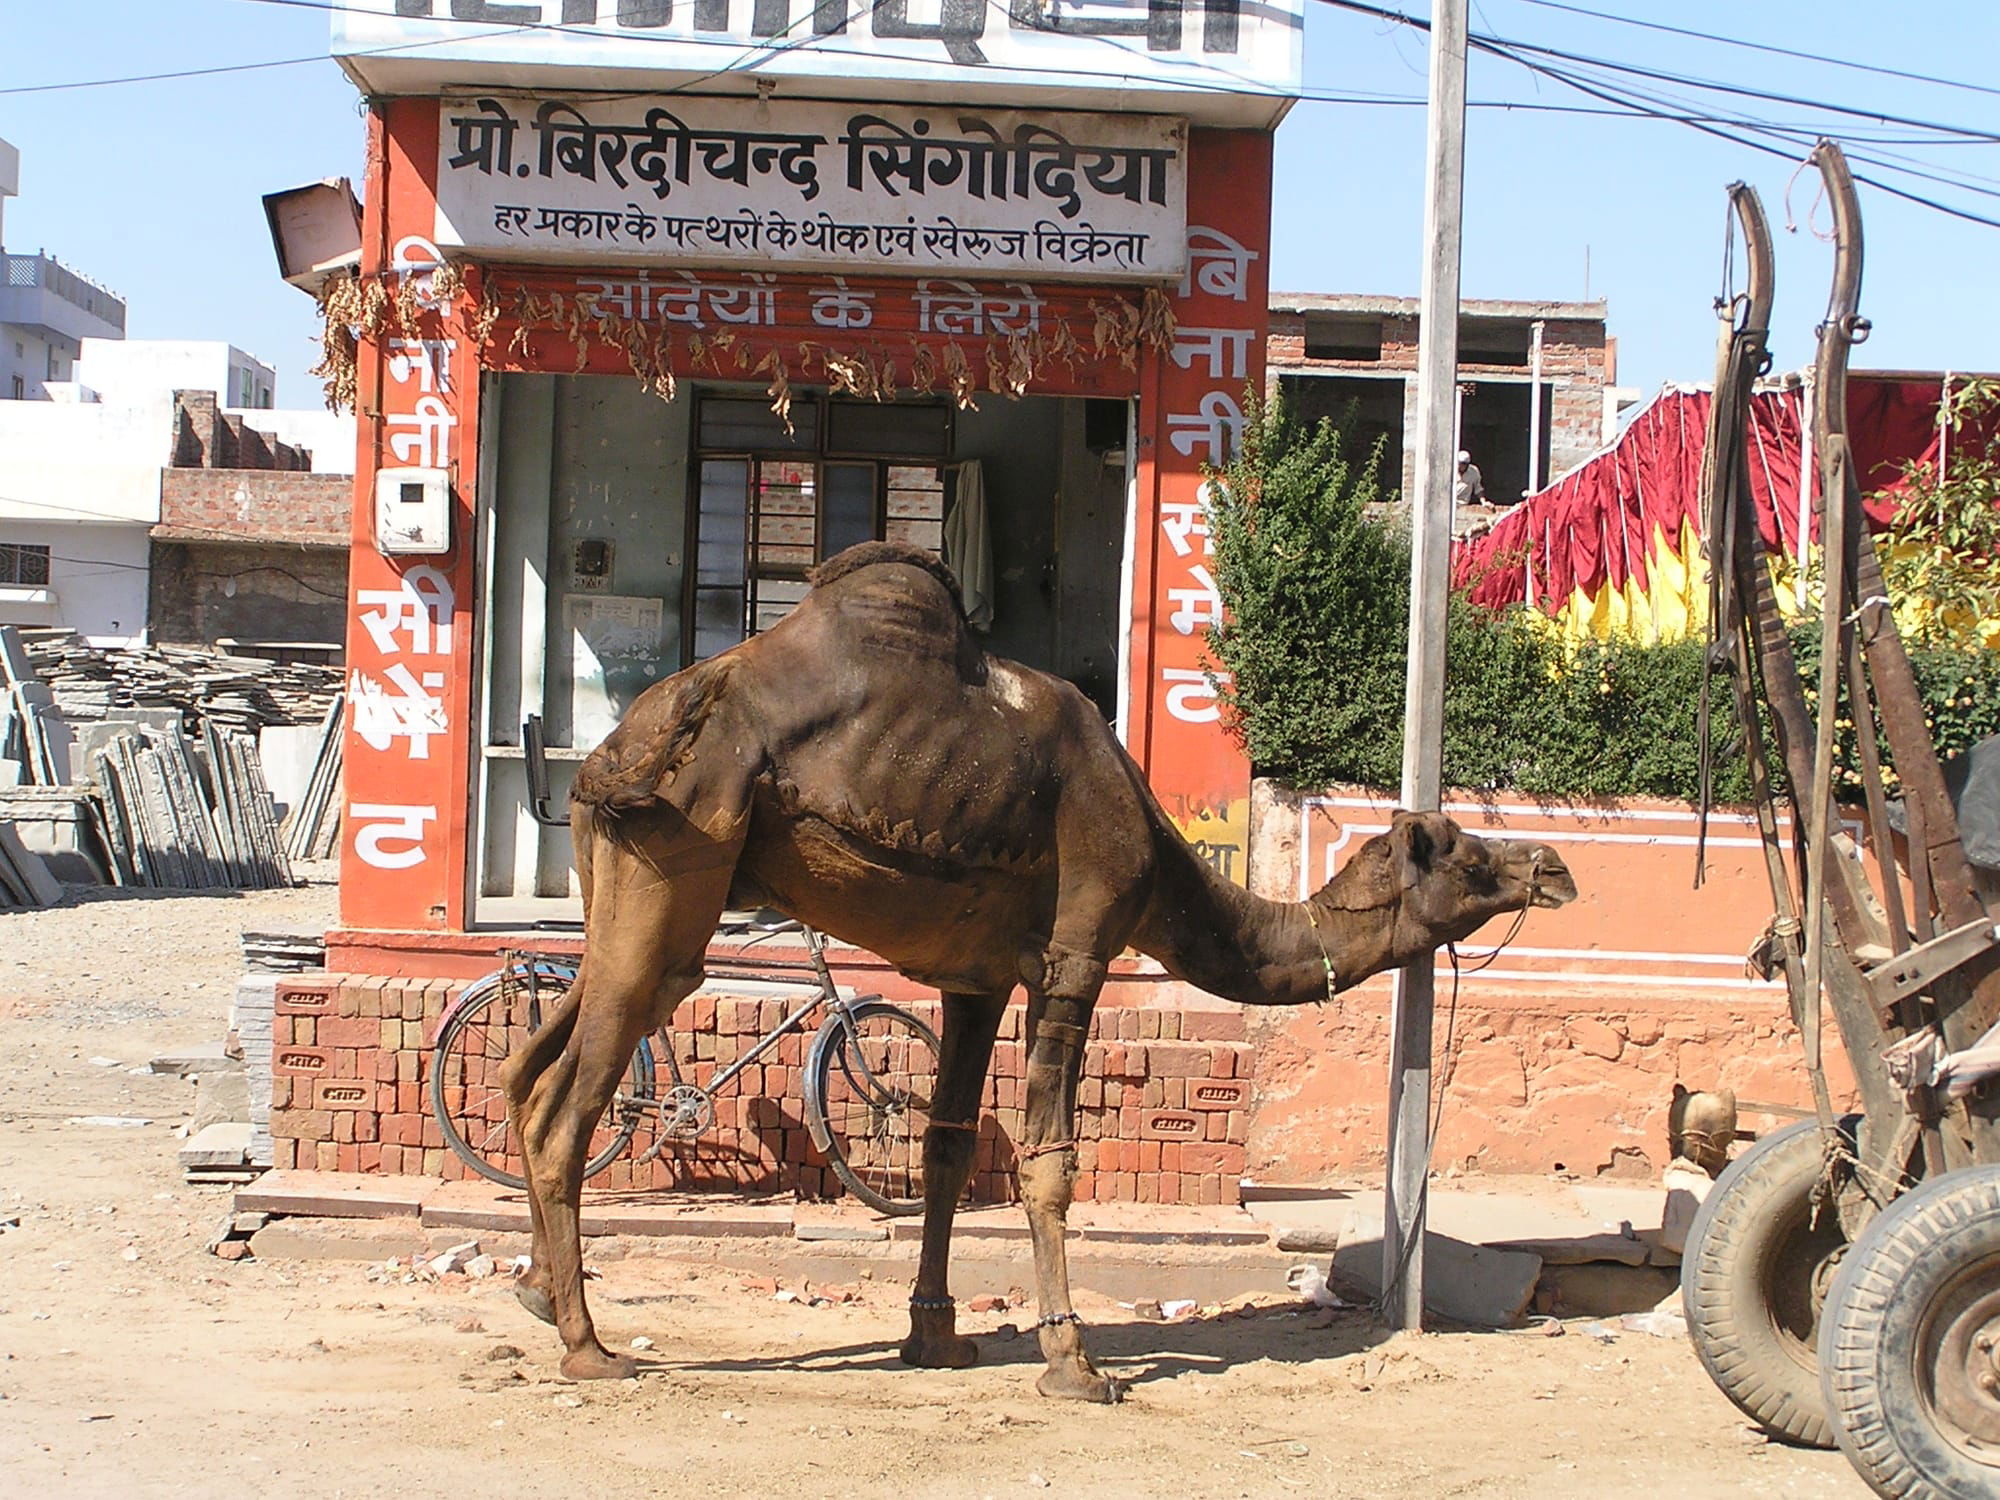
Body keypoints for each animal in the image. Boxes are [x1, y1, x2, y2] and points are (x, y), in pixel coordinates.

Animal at [504, 544, 1576, 1408]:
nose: (1551, 867)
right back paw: (589, 1347)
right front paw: (1075, 1364)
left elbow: (945, 1148)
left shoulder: (972, 979)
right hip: (676, 868)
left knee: (527, 1069)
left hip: (621, 894)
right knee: (568, 1104)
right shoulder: (1078, 953)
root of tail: (607, 753)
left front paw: (935, 1336)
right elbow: (1047, 1161)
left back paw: (535, 1291)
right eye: (1466, 856)